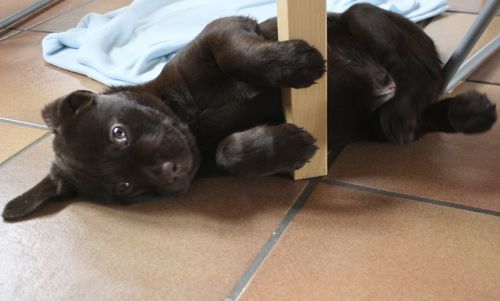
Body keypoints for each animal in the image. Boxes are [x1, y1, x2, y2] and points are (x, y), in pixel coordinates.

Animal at [2, 2, 496, 220]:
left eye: (118, 133)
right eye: (125, 188)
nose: (173, 176)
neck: (191, 121)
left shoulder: (220, 32)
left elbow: (237, 52)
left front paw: (295, 63)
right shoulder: (208, 156)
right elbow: (228, 154)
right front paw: (290, 144)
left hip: (363, 16)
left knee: (414, 74)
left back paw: (404, 104)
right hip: (369, 122)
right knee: (419, 110)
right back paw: (467, 113)